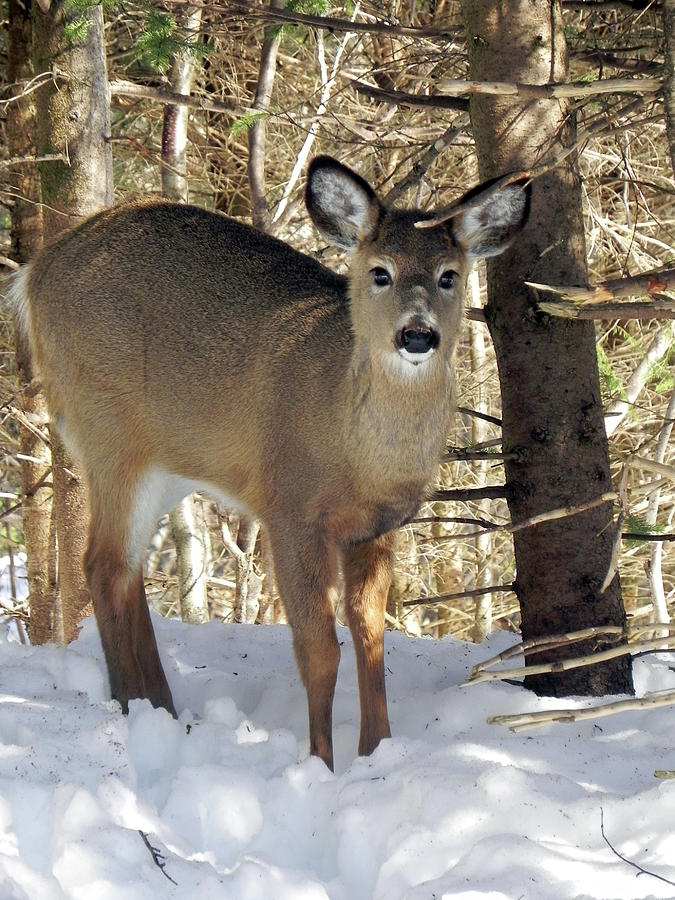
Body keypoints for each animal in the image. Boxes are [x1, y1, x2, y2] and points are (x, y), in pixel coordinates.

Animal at [7, 158, 532, 768]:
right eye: (380, 272)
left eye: (449, 275)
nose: (418, 333)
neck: (356, 450)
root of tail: (33, 274)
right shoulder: (291, 511)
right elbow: (318, 650)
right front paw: (322, 763)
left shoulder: (378, 527)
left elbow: (371, 636)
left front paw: (377, 751)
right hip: (109, 431)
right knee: (103, 562)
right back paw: (130, 707)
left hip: (164, 464)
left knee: (127, 567)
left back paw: (164, 707)